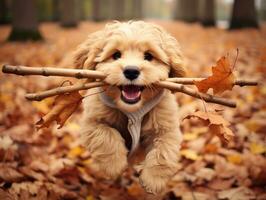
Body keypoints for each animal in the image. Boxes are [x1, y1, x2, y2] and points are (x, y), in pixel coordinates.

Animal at [74, 20, 184, 194]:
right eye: (116, 55)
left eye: (148, 56)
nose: (131, 71)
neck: (132, 110)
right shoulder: (91, 122)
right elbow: (105, 134)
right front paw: (113, 165)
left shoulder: (166, 126)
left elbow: (164, 149)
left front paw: (154, 179)